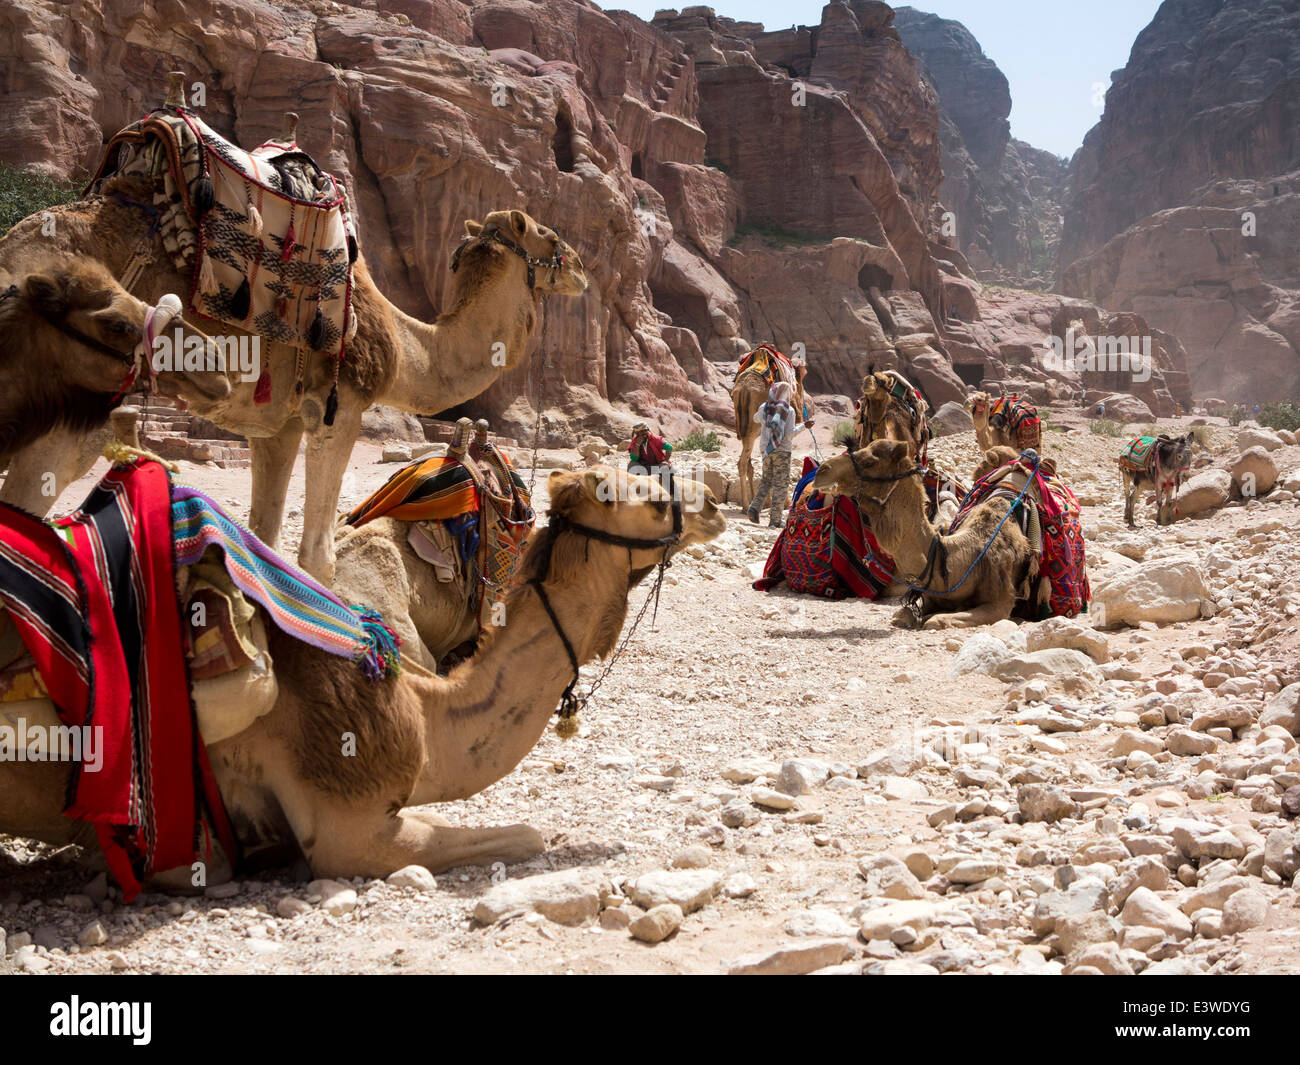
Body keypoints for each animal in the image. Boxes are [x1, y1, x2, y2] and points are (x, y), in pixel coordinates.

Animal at [733, 343, 800, 507]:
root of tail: (744, 389)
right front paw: (782, 502)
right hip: (752, 429)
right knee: (743, 462)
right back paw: (746, 505)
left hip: (743, 426)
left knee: (747, 462)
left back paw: (750, 501)